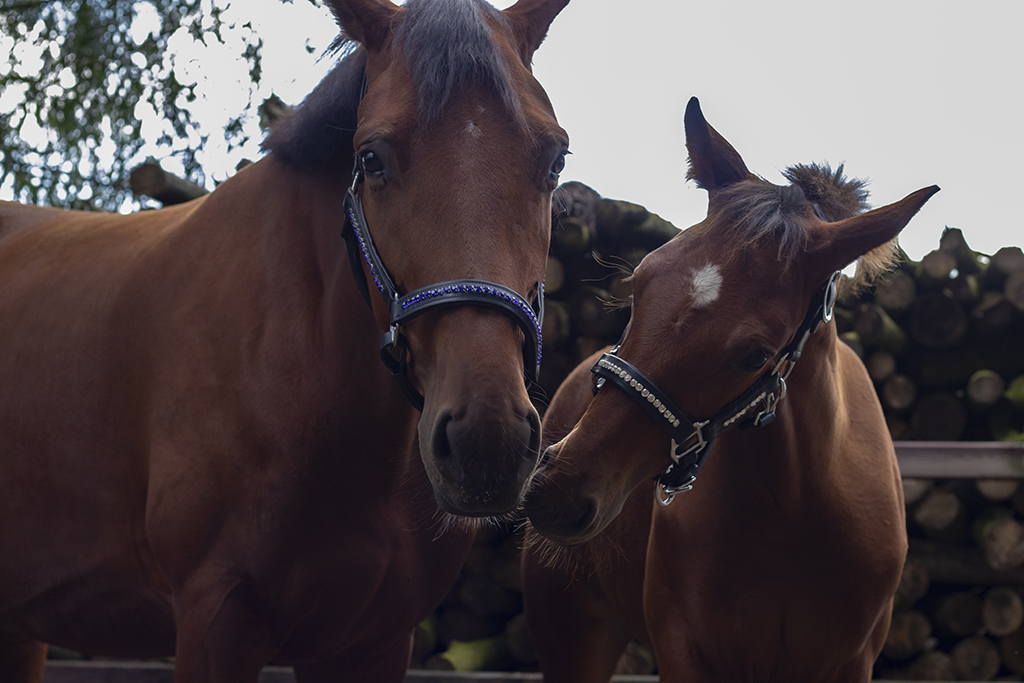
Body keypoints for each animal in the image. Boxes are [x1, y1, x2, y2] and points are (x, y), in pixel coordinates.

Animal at [524, 98, 937, 683]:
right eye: (640, 283)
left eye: (754, 356)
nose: (556, 488)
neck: (793, 510)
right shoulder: (686, 651)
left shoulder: (851, 662)